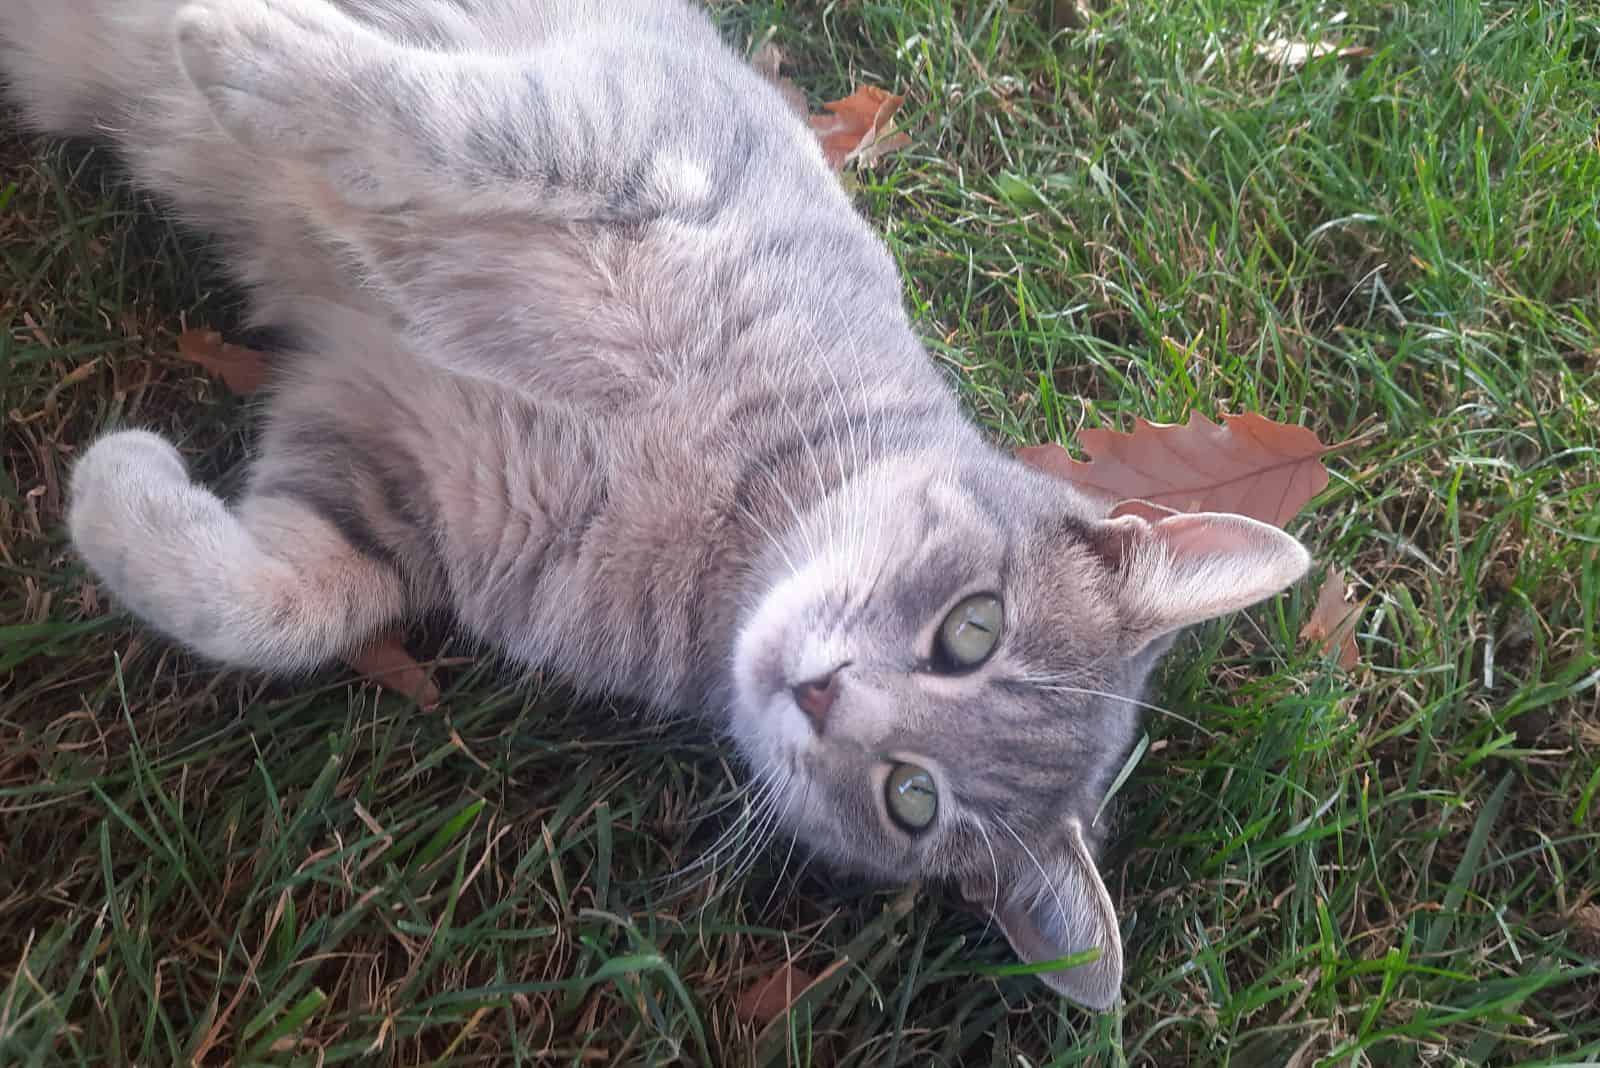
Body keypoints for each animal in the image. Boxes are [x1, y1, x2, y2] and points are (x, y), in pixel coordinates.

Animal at [0, 0, 1312, 1010]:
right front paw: (239, 42)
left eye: (910, 798)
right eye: (971, 629)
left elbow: (273, 606)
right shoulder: (640, 129)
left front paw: (119, 484)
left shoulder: (372, 456)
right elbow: (447, 119)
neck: (713, 513)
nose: (820, 694)